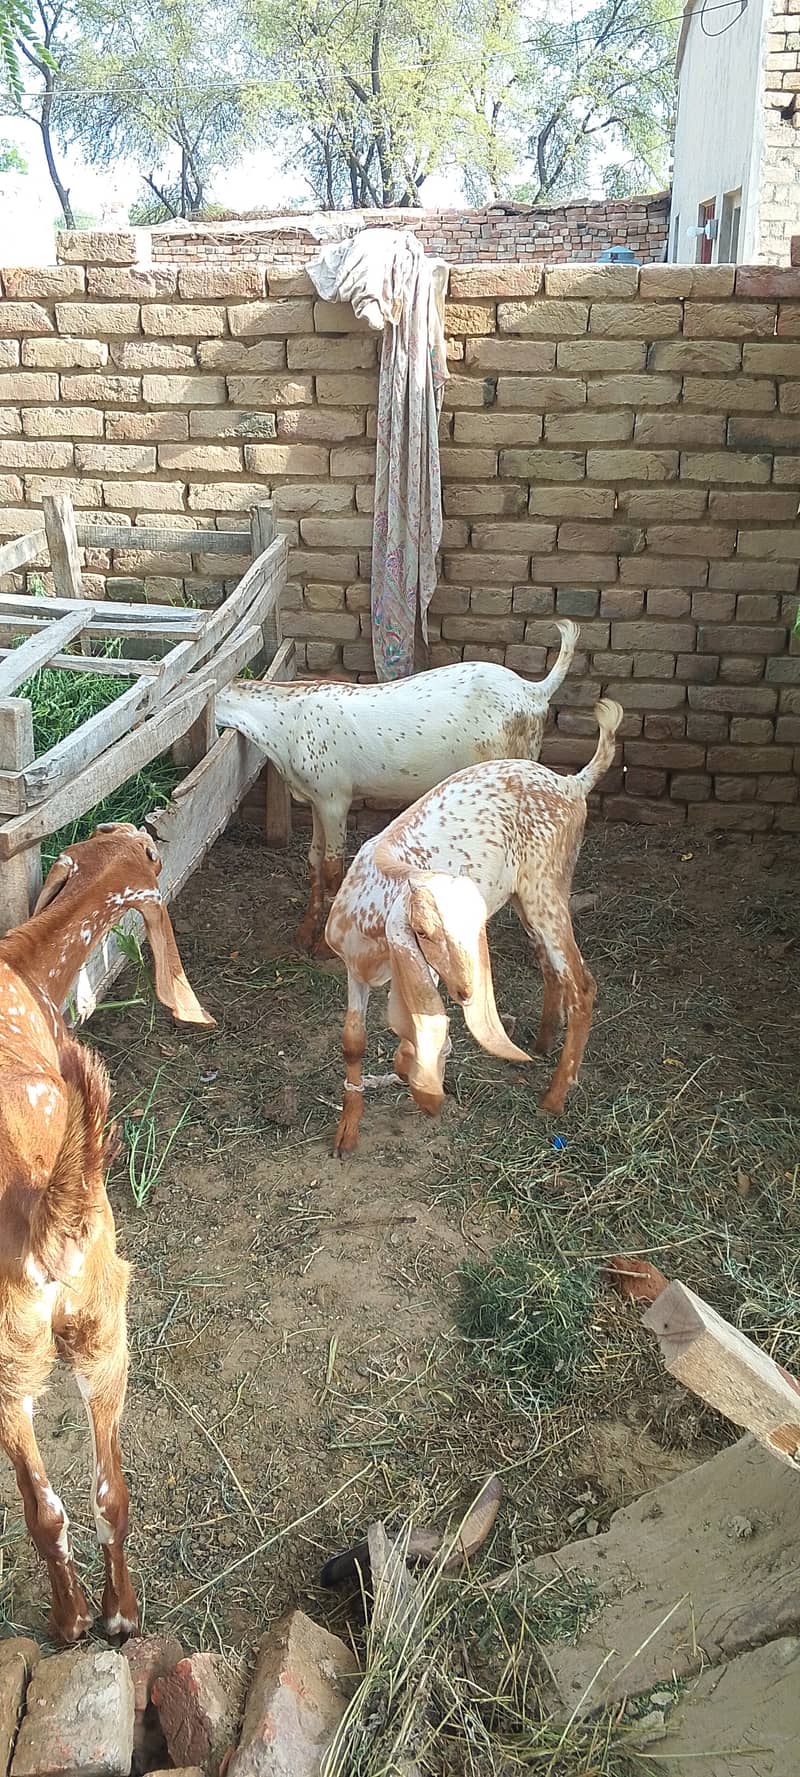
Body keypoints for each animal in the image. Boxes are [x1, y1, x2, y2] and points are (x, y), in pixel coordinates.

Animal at [0, 822, 213, 1643]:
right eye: (147, 855)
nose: (147, 829)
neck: (24, 964)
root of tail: (43, 1222)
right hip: (102, 1313)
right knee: (102, 1496)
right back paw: (117, 1617)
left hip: (23, 1357)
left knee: (53, 1508)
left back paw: (76, 1622)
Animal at [215, 621, 578, 952]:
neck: (287, 722)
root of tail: (534, 690)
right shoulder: (317, 798)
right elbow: (314, 860)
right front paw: (304, 934)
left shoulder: (335, 799)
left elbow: (333, 868)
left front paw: (324, 948)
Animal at [324, 699, 622, 1155]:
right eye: (424, 932)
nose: (465, 991)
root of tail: (570, 784)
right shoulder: (354, 969)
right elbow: (352, 1042)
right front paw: (347, 1131)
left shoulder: (420, 974)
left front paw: (418, 1079)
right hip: (526, 894)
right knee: (550, 967)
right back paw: (541, 1043)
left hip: (547, 885)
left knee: (581, 984)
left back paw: (554, 1097)